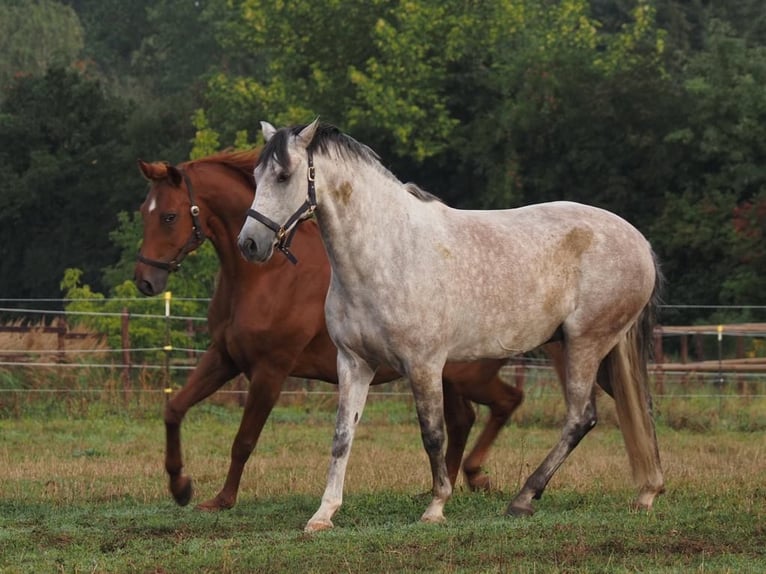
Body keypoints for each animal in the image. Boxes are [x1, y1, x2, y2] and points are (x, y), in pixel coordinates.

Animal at [135, 150, 536, 512]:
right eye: (145, 213)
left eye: (169, 216)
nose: (145, 280)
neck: (268, 277)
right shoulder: (224, 357)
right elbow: (174, 409)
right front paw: (180, 486)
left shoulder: (270, 371)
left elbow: (244, 440)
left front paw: (222, 499)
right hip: (444, 377)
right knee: (463, 420)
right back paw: (442, 487)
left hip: (464, 375)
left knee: (505, 402)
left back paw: (475, 476)